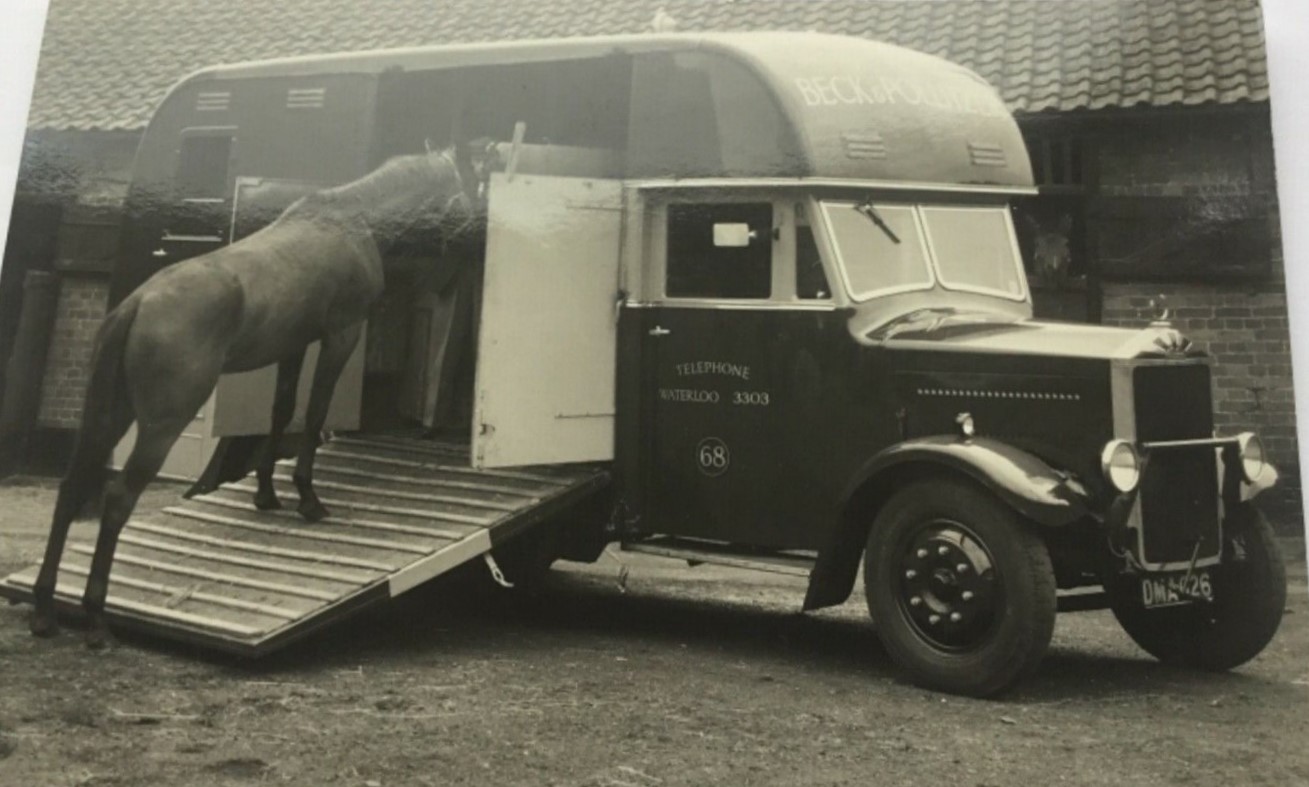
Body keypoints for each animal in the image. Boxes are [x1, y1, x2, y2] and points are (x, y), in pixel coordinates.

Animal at [29, 142, 486, 644]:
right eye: (472, 186)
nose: (481, 246)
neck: (354, 218)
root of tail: (137, 304)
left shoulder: (293, 345)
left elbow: (281, 411)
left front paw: (266, 494)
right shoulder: (339, 336)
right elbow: (314, 412)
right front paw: (308, 499)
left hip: (109, 415)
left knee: (71, 489)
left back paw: (44, 611)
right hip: (160, 425)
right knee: (116, 500)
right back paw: (96, 620)